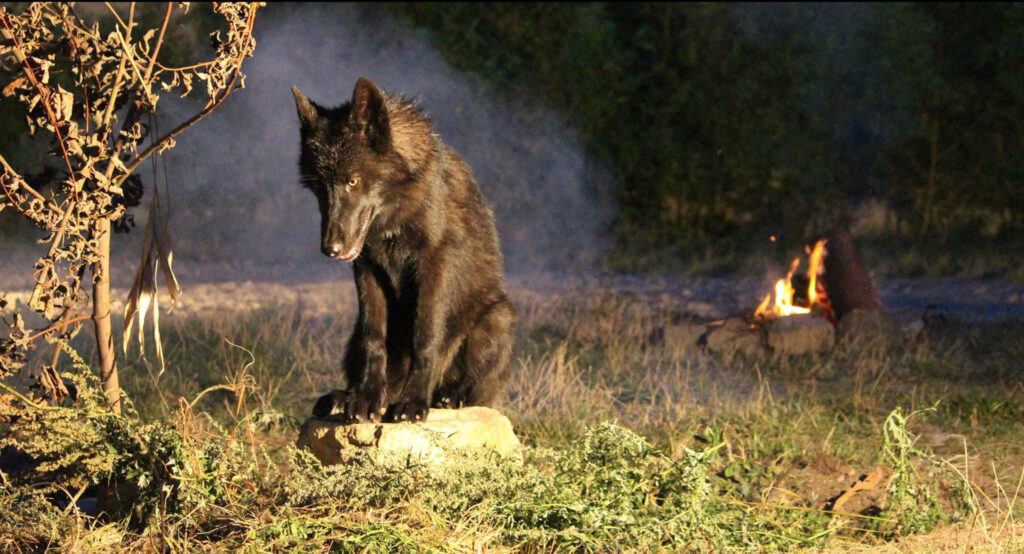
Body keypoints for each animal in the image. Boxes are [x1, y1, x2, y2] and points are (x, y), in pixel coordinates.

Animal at [292, 78, 515, 423]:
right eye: (319, 187)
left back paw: (448, 397)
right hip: (352, 340)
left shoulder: (433, 263)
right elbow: (375, 339)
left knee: (476, 391)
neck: (394, 216)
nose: (331, 249)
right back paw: (348, 397)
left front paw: (412, 403)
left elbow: (426, 336)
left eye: (353, 181)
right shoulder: (367, 268)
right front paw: (365, 399)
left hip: (497, 318)